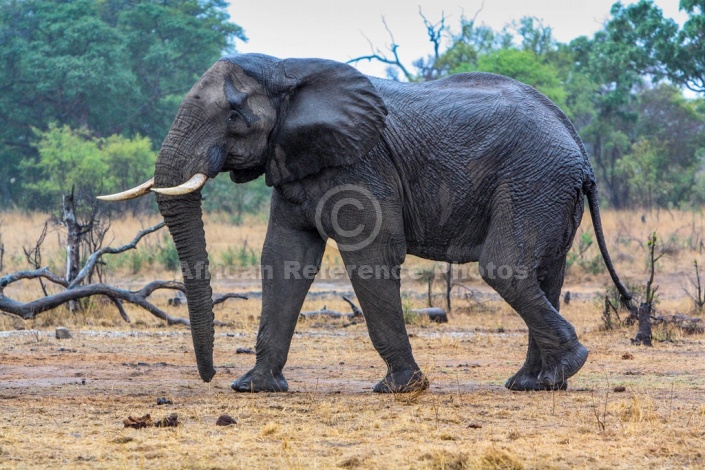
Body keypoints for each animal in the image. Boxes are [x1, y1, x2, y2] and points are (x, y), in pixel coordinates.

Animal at [96, 53, 628, 392]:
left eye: (233, 115)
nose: (209, 376)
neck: (287, 70)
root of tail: (579, 148)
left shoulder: (361, 164)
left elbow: (370, 256)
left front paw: (399, 388)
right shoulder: (296, 161)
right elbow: (285, 259)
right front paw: (254, 387)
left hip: (533, 178)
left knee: (505, 268)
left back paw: (564, 370)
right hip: (547, 186)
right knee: (545, 272)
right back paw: (533, 384)